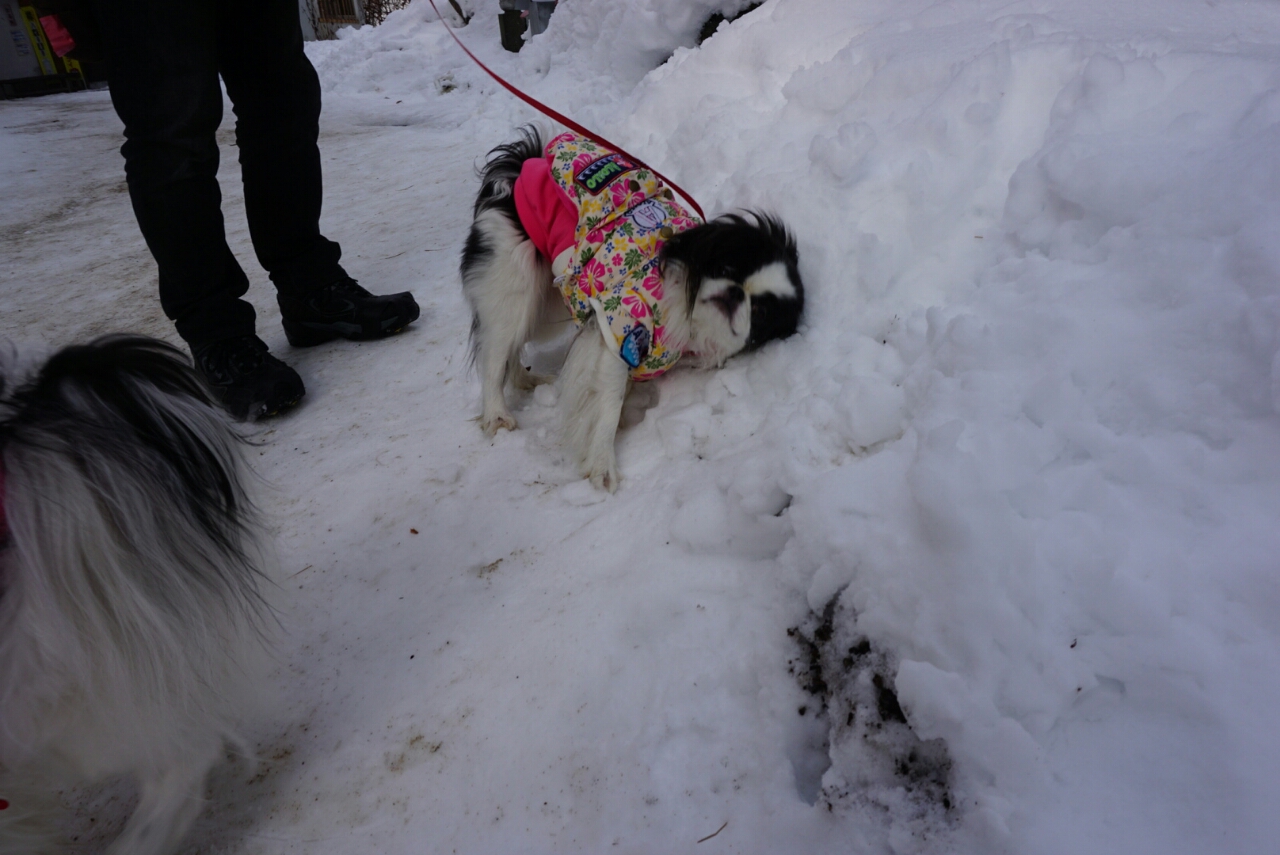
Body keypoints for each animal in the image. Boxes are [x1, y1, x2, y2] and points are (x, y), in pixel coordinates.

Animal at [461, 127, 804, 490]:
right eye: (728, 268)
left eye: (762, 314)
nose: (736, 293)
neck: (688, 316)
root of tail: (522, 163)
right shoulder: (617, 328)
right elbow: (607, 403)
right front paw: (603, 465)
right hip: (516, 287)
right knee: (494, 354)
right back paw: (497, 415)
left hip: (546, 304)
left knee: (509, 347)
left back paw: (528, 381)